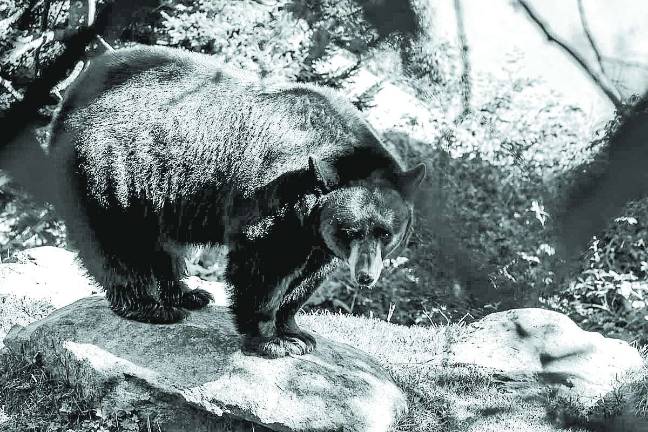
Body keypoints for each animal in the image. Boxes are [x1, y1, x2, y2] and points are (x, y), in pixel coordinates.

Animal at [45, 45, 425, 358]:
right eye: (351, 230)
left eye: (385, 233)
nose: (366, 276)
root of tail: (73, 90)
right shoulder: (273, 193)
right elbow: (263, 262)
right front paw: (273, 340)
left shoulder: (316, 230)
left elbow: (308, 275)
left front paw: (297, 331)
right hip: (111, 170)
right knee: (118, 239)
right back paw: (150, 306)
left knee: (163, 244)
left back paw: (187, 294)